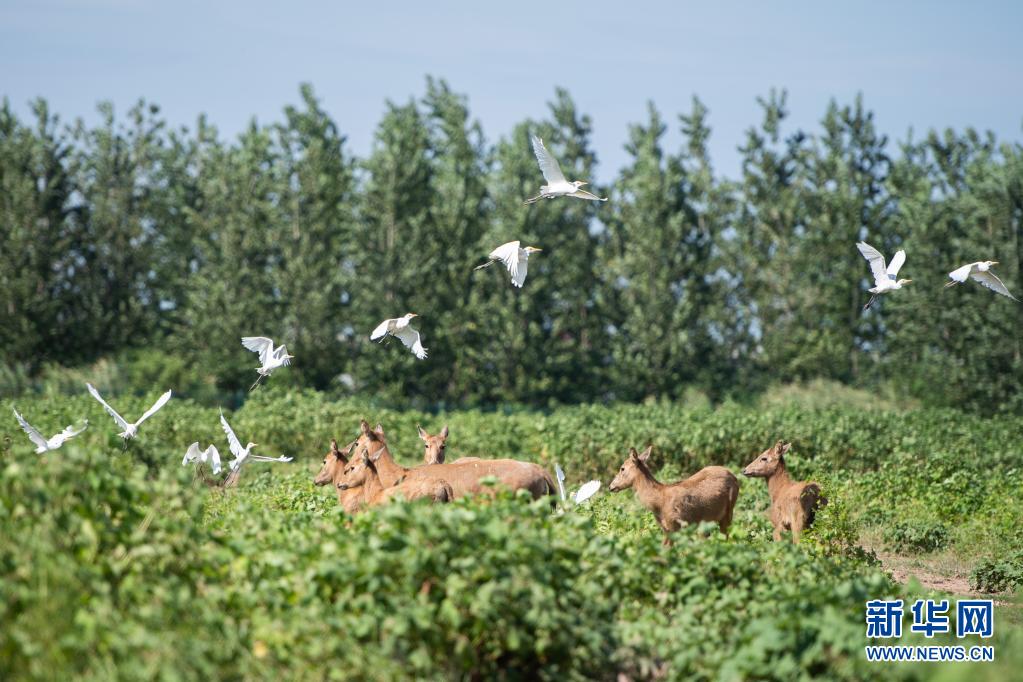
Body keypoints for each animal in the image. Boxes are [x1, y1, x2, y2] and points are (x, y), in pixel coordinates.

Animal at [605, 445, 744, 548]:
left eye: (622, 468)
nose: (611, 486)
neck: (659, 502)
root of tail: (734, 476)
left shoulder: (675, 525)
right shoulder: (666, 528)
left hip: (728, 511)